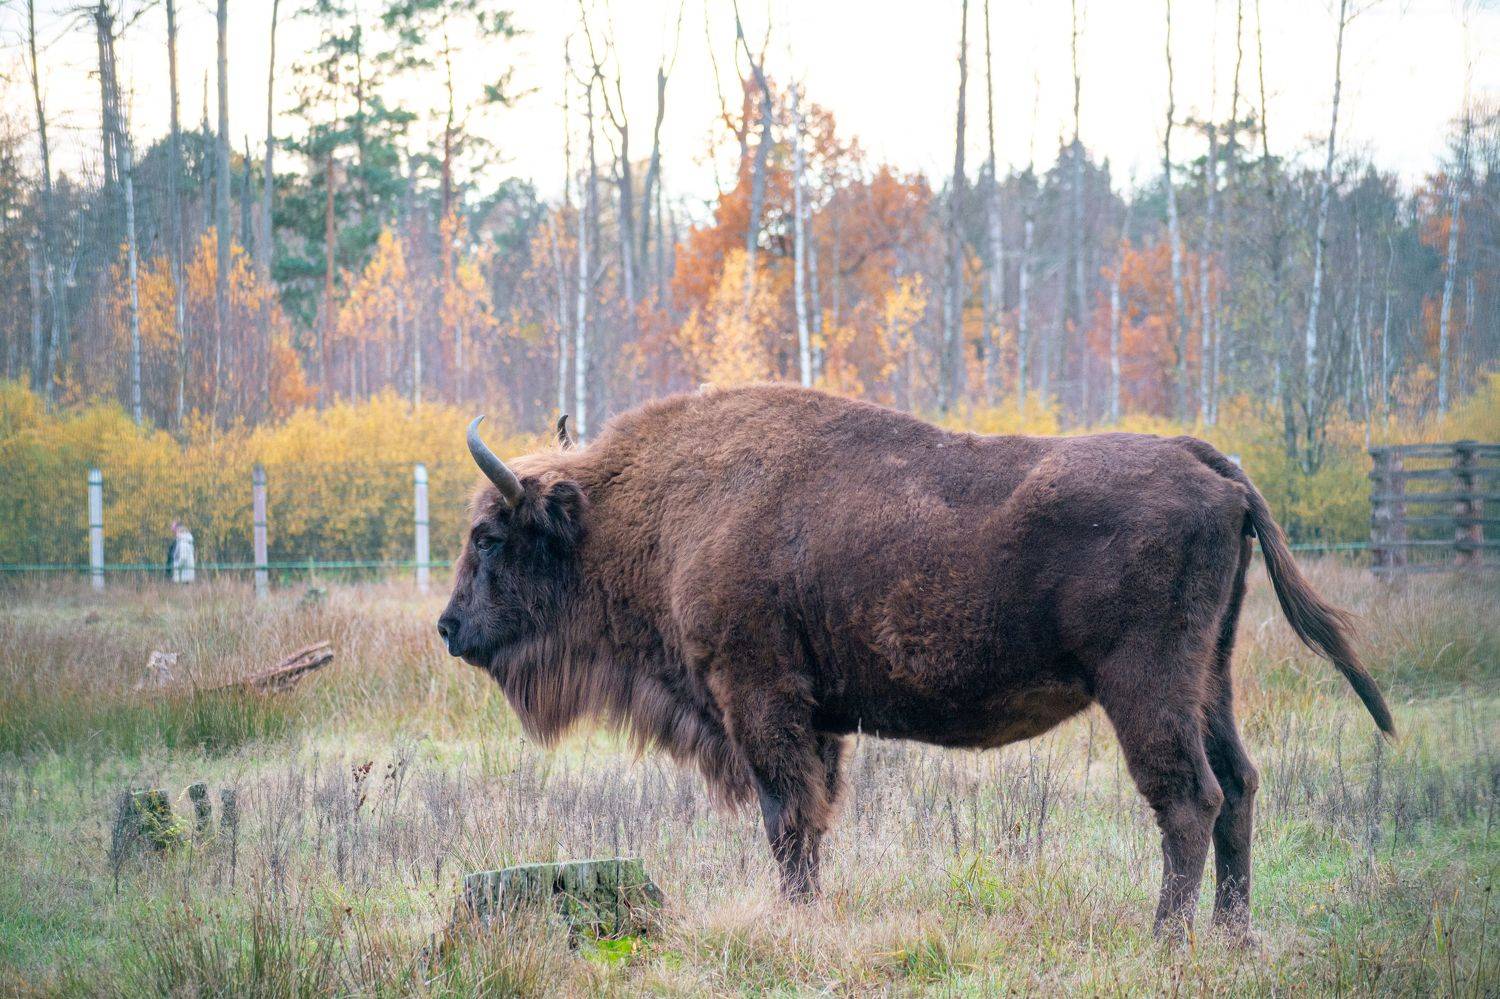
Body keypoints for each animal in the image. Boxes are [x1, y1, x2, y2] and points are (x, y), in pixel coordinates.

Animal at [438, 385, 1393, 937]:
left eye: (490, 536)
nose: (449, 628)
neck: (658, 505)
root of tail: (1216, 467)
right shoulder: (814, 718)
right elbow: (814, 817)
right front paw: (808, 911)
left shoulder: (759, 696)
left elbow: (787, 815)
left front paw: (793, 919)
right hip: (1210, 678)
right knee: (1240, 784)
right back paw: (1232, 933)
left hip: (1146, 684)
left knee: (1189, 797)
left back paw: (1164, 938)